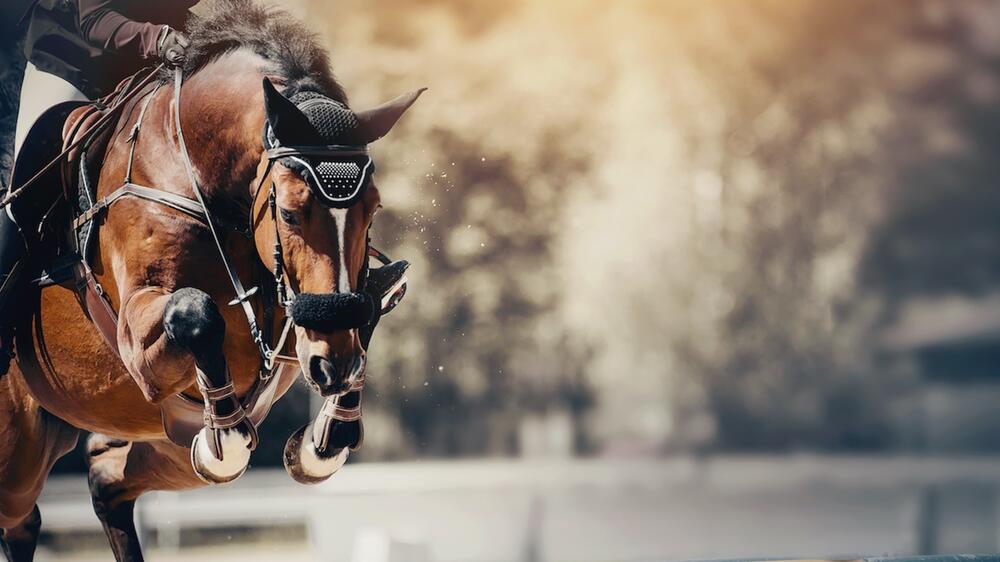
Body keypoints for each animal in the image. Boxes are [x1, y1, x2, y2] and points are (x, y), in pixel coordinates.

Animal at [0, 2, 418, 556]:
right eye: (289, 213)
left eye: (373, 212)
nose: (333, 366)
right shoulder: (137, 339)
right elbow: (196, 312)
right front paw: (228, 435)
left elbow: (368, 307)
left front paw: (325, 439)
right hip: (20, 445)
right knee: (22, 512)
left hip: (152, 444)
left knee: (103, 479)